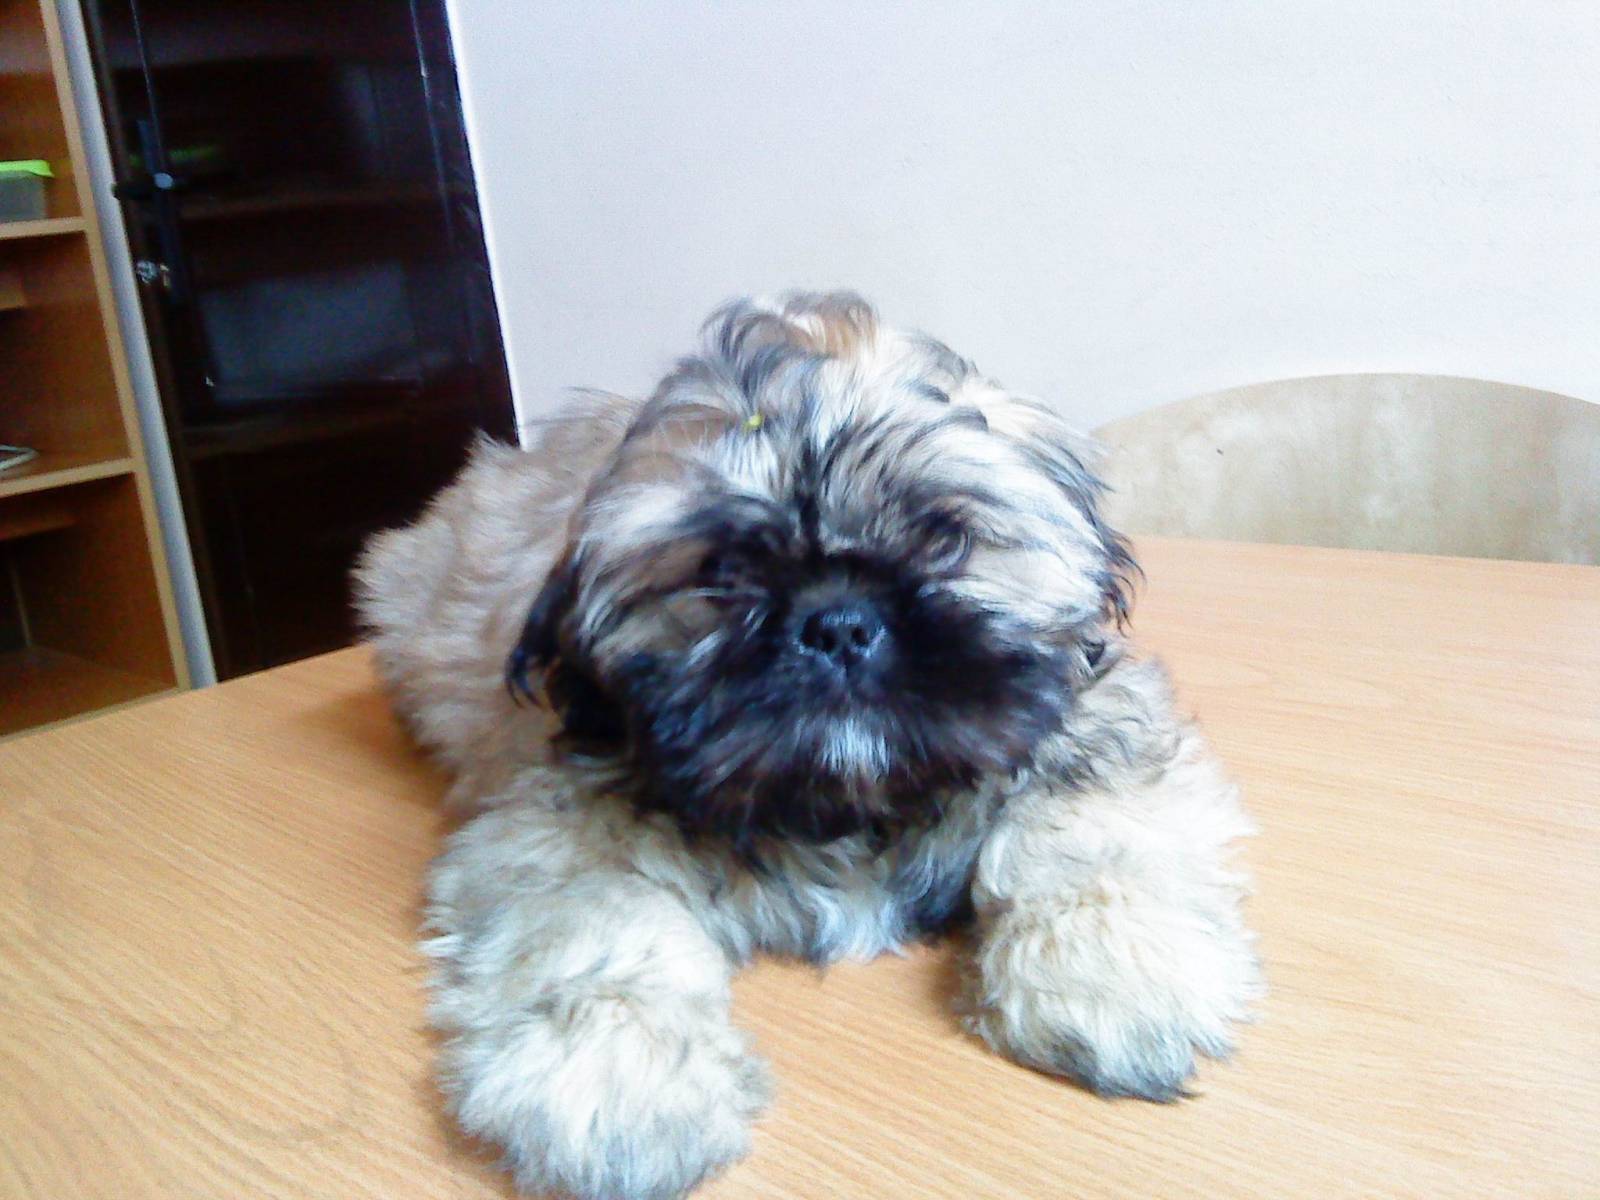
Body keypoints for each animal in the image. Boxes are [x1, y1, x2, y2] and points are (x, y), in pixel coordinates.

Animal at [356, 293, 1260, 1200]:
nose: (838, 622)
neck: (844, 809)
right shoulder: (549, 824)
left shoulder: (1097, 724)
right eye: (721, 572)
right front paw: (618, 1076)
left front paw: (1113, 974)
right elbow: (595, 933)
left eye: (943, 539)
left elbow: (1092, 844)